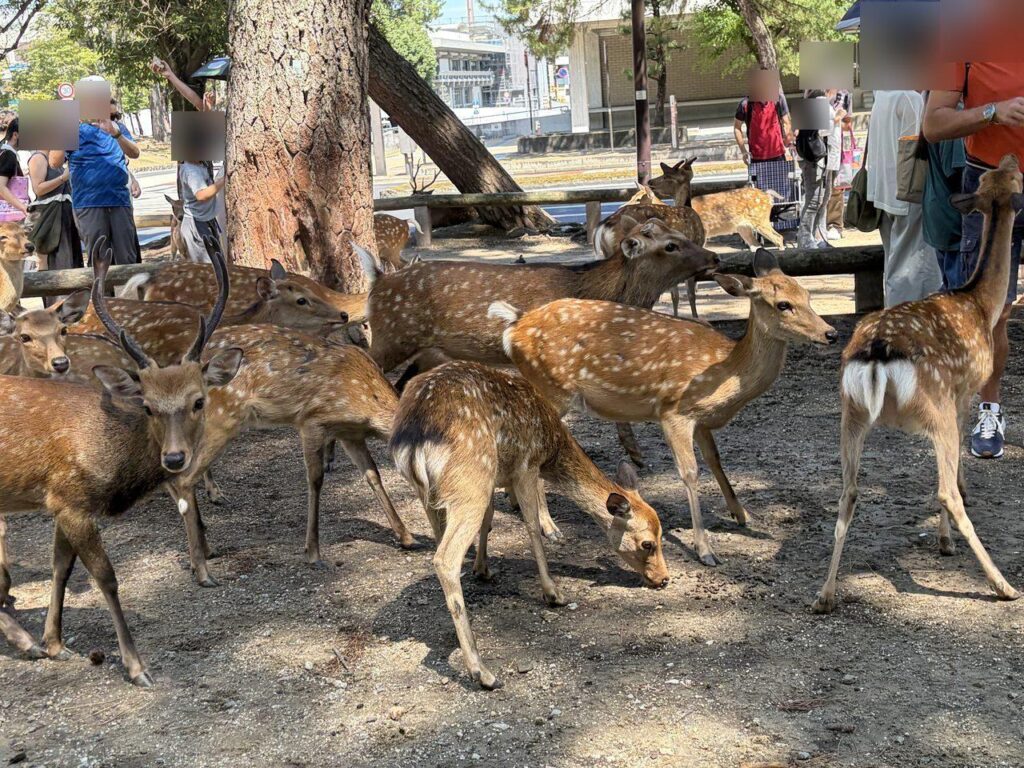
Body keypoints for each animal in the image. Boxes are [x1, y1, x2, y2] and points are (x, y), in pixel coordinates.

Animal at [0, 237, 241, 686]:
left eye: (198, 400)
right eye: (146, 405)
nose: (175, 457)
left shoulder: (60, 502)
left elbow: (60, 567)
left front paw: (54, 642)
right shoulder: (71, 500)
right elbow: (107, 578)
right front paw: (136, 666)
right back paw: (22, 640)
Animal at [390, 360, 669, 690]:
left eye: (662, 535)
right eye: (647, 543)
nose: (664, 578)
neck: (551, 446)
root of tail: (414, 438)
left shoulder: (497, 476)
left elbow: (489, 520)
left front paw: (483, 569)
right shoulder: (526, 465)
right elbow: (533, 527)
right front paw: (554, 593)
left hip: (433, 492)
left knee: (441, 542)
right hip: (470, 479)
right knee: (445, 559)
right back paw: (482, 672)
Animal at [491, 247, 837, 566]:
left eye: (806, 294)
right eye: (783, 305)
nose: (830, 333)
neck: (724, 372)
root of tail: (514, 328)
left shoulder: (702, 421)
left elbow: (715, 461)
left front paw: (743, 514)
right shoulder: (674, 411)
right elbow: (690, 473)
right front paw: (705, 550)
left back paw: (516, 503)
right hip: (553, 388)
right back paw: (549, 527)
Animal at [812, 155, 1024, 614]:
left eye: (994, 176)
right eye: (1016, 179)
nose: (1008, 158)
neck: (979, 305)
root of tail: (877, 351)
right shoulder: (963, 391)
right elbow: (959, 462)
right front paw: (948, 536)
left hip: (850, 411)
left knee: (848, 491)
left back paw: (825, 594)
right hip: (934, 404)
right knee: (944, 492)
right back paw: (1002, 584)